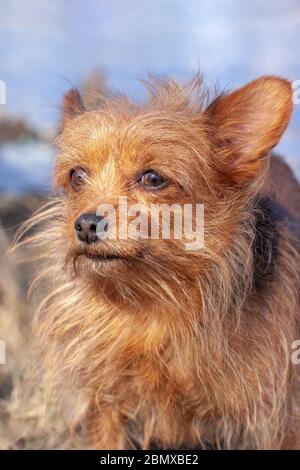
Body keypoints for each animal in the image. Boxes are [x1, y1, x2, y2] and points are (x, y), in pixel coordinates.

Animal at [15, 75, 300, 450]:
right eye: (77, 176)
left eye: (152, 179)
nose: (86, 224)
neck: (154, 305)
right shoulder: (107, 407)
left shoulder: (276, 422)